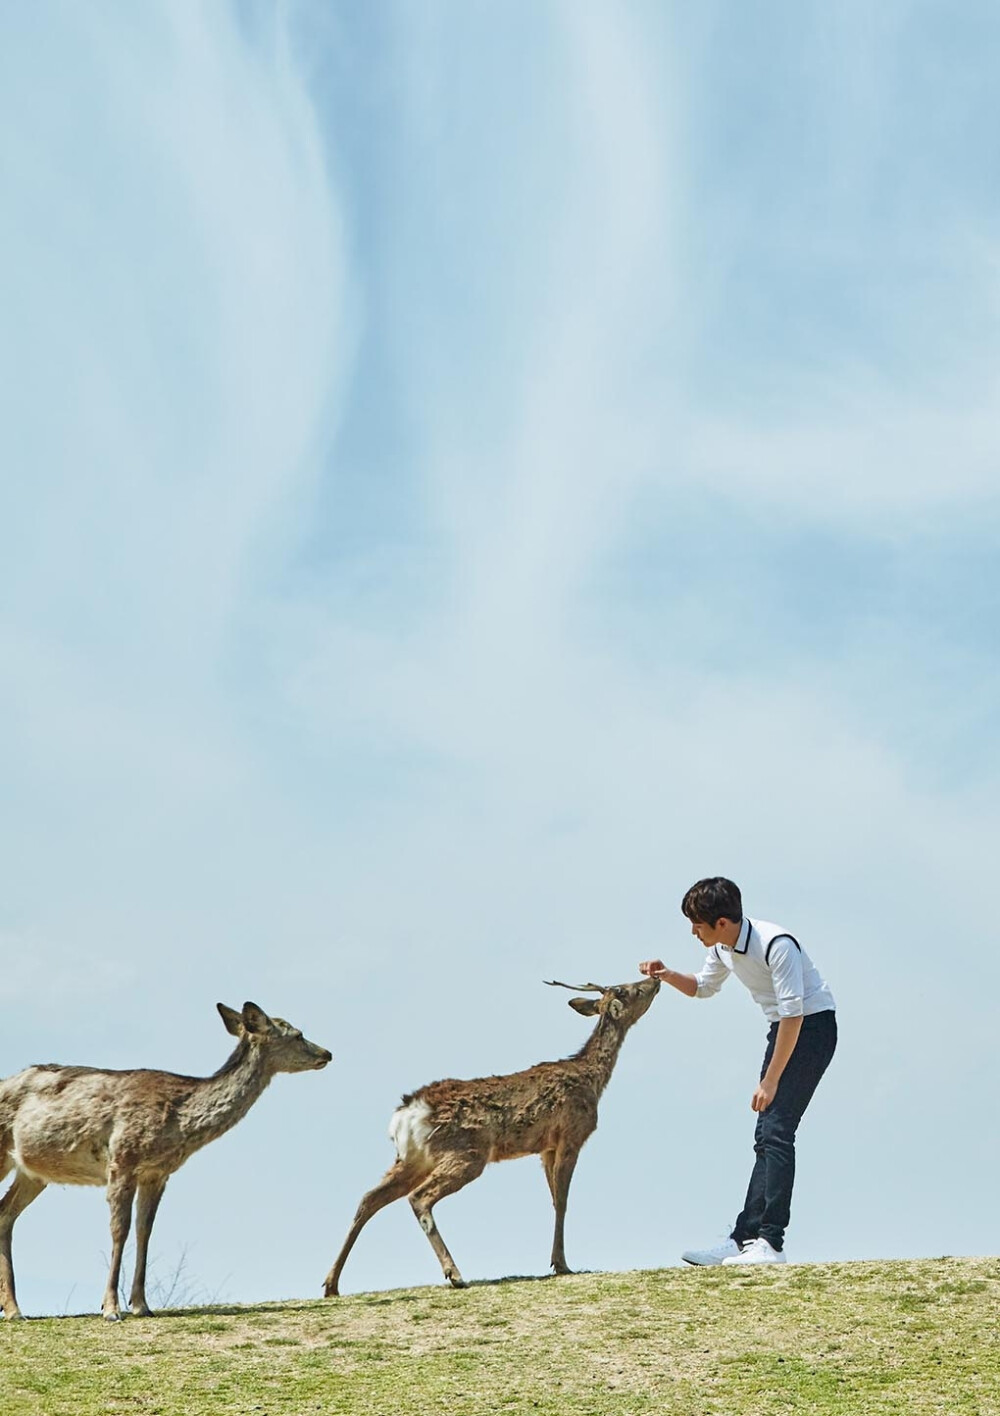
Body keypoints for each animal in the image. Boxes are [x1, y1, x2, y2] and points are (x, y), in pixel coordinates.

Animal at [0, 1002, 334, 1319]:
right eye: (298, 1034)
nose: (327, 1053)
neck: (180, 1119)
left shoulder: (157, 1172)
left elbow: (144, 1230)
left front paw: (141, 1305)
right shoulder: (122, 1159)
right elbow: (120, 1229)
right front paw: (111, 1308)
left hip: (33, 1173)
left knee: (5, 1213)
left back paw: (15, 1310)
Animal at [322, 974, 657, 1297]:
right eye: (626, 990)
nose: (654, 981)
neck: (593, 1079)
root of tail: (407, 1113)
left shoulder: (545, 1148)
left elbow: (553, 1199)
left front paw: (557, 1260)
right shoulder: (572, 1134)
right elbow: (562, 1201)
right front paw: (561, 1264)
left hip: (412, 1158)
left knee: (369, 1198)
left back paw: (332, 1284)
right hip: (465, 1153)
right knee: (419, 1197)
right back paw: (455, 1274)